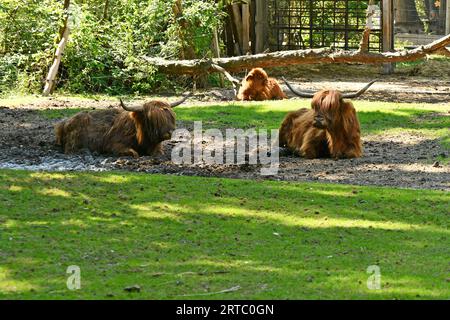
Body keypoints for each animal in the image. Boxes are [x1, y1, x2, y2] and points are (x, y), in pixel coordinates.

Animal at [55, 93, 191, 157]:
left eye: (171, 117)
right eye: (152, 118)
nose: (169, 132)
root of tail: (64, 122)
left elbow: (159, 152)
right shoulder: (112, 144)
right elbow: (133, 153)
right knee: (70, 149)